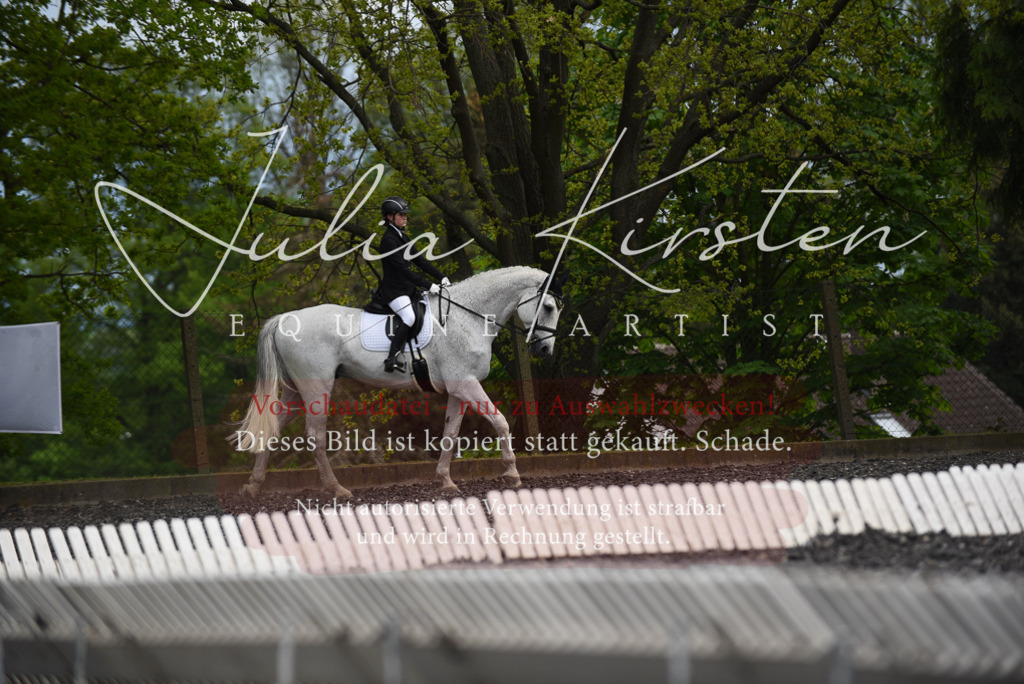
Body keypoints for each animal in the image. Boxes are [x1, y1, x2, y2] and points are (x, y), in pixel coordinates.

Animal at [231, 266, 563, 499]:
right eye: (548, 307)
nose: (546, 351)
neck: (468, 318)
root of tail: (285, 319)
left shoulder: (458, 389)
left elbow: (450, 433)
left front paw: (446, 480)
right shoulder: (467, 385)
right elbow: (501, 422)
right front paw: (512, 473)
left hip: (295, 392)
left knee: (273, 428)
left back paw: (253, 486)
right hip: (316, 389)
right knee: (315, 436)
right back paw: (337, 489)